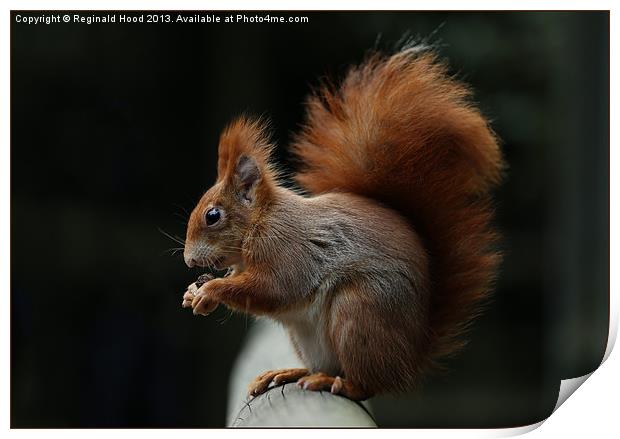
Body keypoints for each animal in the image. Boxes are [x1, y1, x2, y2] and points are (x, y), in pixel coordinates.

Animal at [179, 44, 504, 402]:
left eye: (212, 216)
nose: (189, 260)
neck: (261, 222)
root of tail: (410, 358)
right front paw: (194, 295)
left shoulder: (287, 249)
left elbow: (274, 288)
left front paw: (211, 290)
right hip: (309, 338)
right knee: (327, 367)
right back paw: (290, 372)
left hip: (359, 313)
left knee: (367, 384)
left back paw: (337, 383)